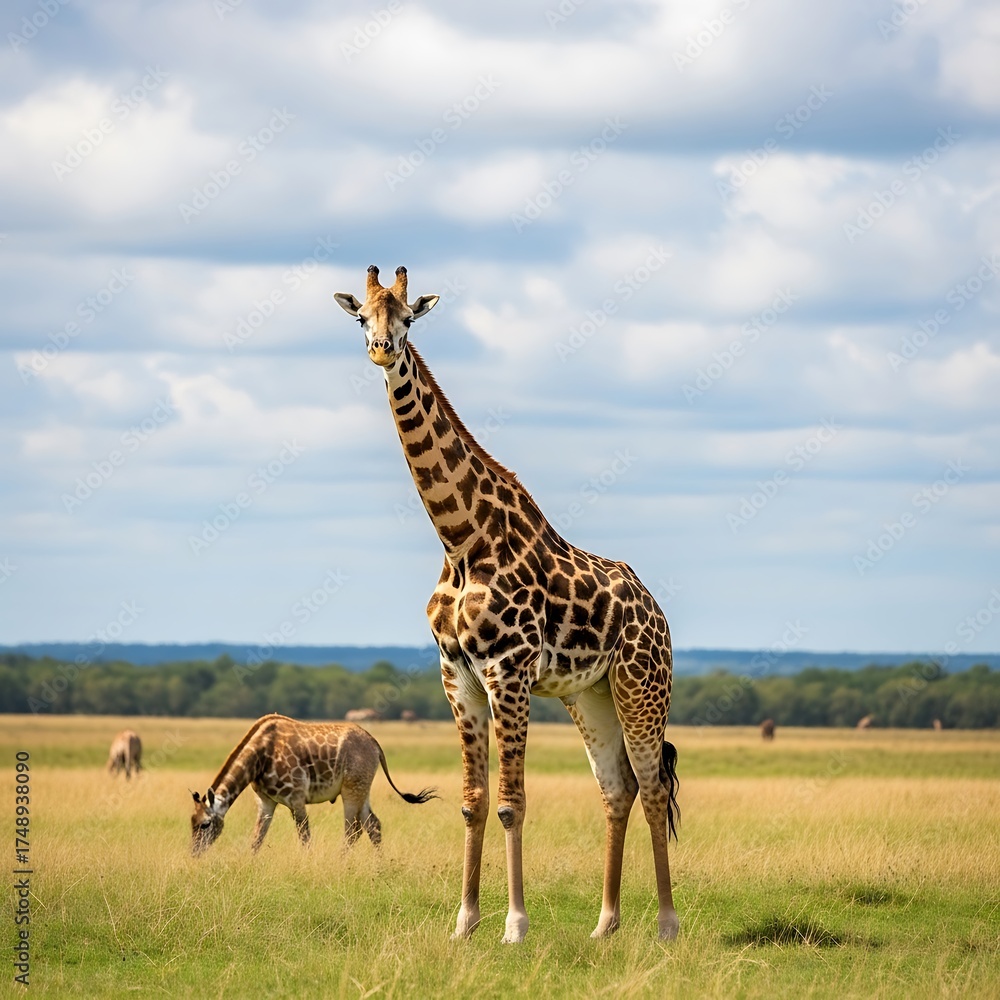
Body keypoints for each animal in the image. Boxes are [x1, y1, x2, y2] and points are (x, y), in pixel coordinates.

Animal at [189, 714, 436, 856]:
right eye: (191, 822)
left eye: (205, 824)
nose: (194, 854)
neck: (260, 755)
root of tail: (375, 745)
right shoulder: (266, 802)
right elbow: (257, 839)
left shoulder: (296, 799)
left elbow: (304, 838)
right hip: (362, 790)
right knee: (373, 825)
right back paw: (381, 867)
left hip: (351, 790)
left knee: (353, 829)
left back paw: (341, 864)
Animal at [334, 265, 680, 943]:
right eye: (362, 316)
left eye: (407, 318)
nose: (382, 351)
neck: (461, 540)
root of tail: (659, 613)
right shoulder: (457, 675)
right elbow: (472, 803)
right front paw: (464, 922)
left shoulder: (509, 672)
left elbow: (511, 804)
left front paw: (515, 925)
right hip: (589, 696)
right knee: (617, 788)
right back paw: (605, 924)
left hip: (641, 687)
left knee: (653, 787)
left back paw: (666, 927)